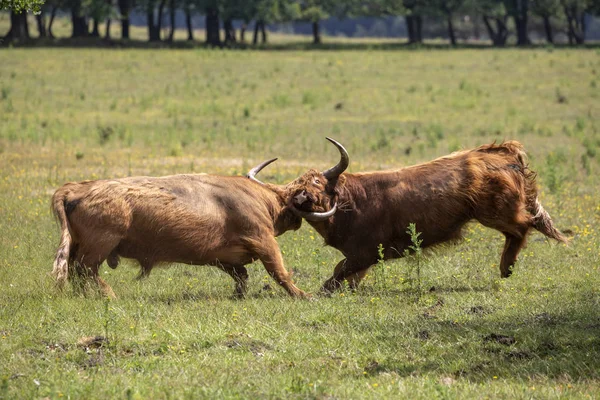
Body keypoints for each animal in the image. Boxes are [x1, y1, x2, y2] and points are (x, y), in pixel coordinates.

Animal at [51, 161, 310, 298]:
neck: (260, 198)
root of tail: (75, 188)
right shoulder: (263, 239)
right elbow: (279, 271)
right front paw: (302, 295)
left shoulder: (226, 259)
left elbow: (242, 276)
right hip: (99, 246)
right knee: (84, 270)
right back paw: (109, 295)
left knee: (76, 271)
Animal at [290, 139, 568, 292]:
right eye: (295, 184)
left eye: (317, 182)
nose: (299, 198)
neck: (351, 203)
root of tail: (500, 152)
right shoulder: (360, 258)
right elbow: (343, 274)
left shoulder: (364, 253)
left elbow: (334, 278)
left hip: (494, 212)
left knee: (524, 225)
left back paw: (506, 268)